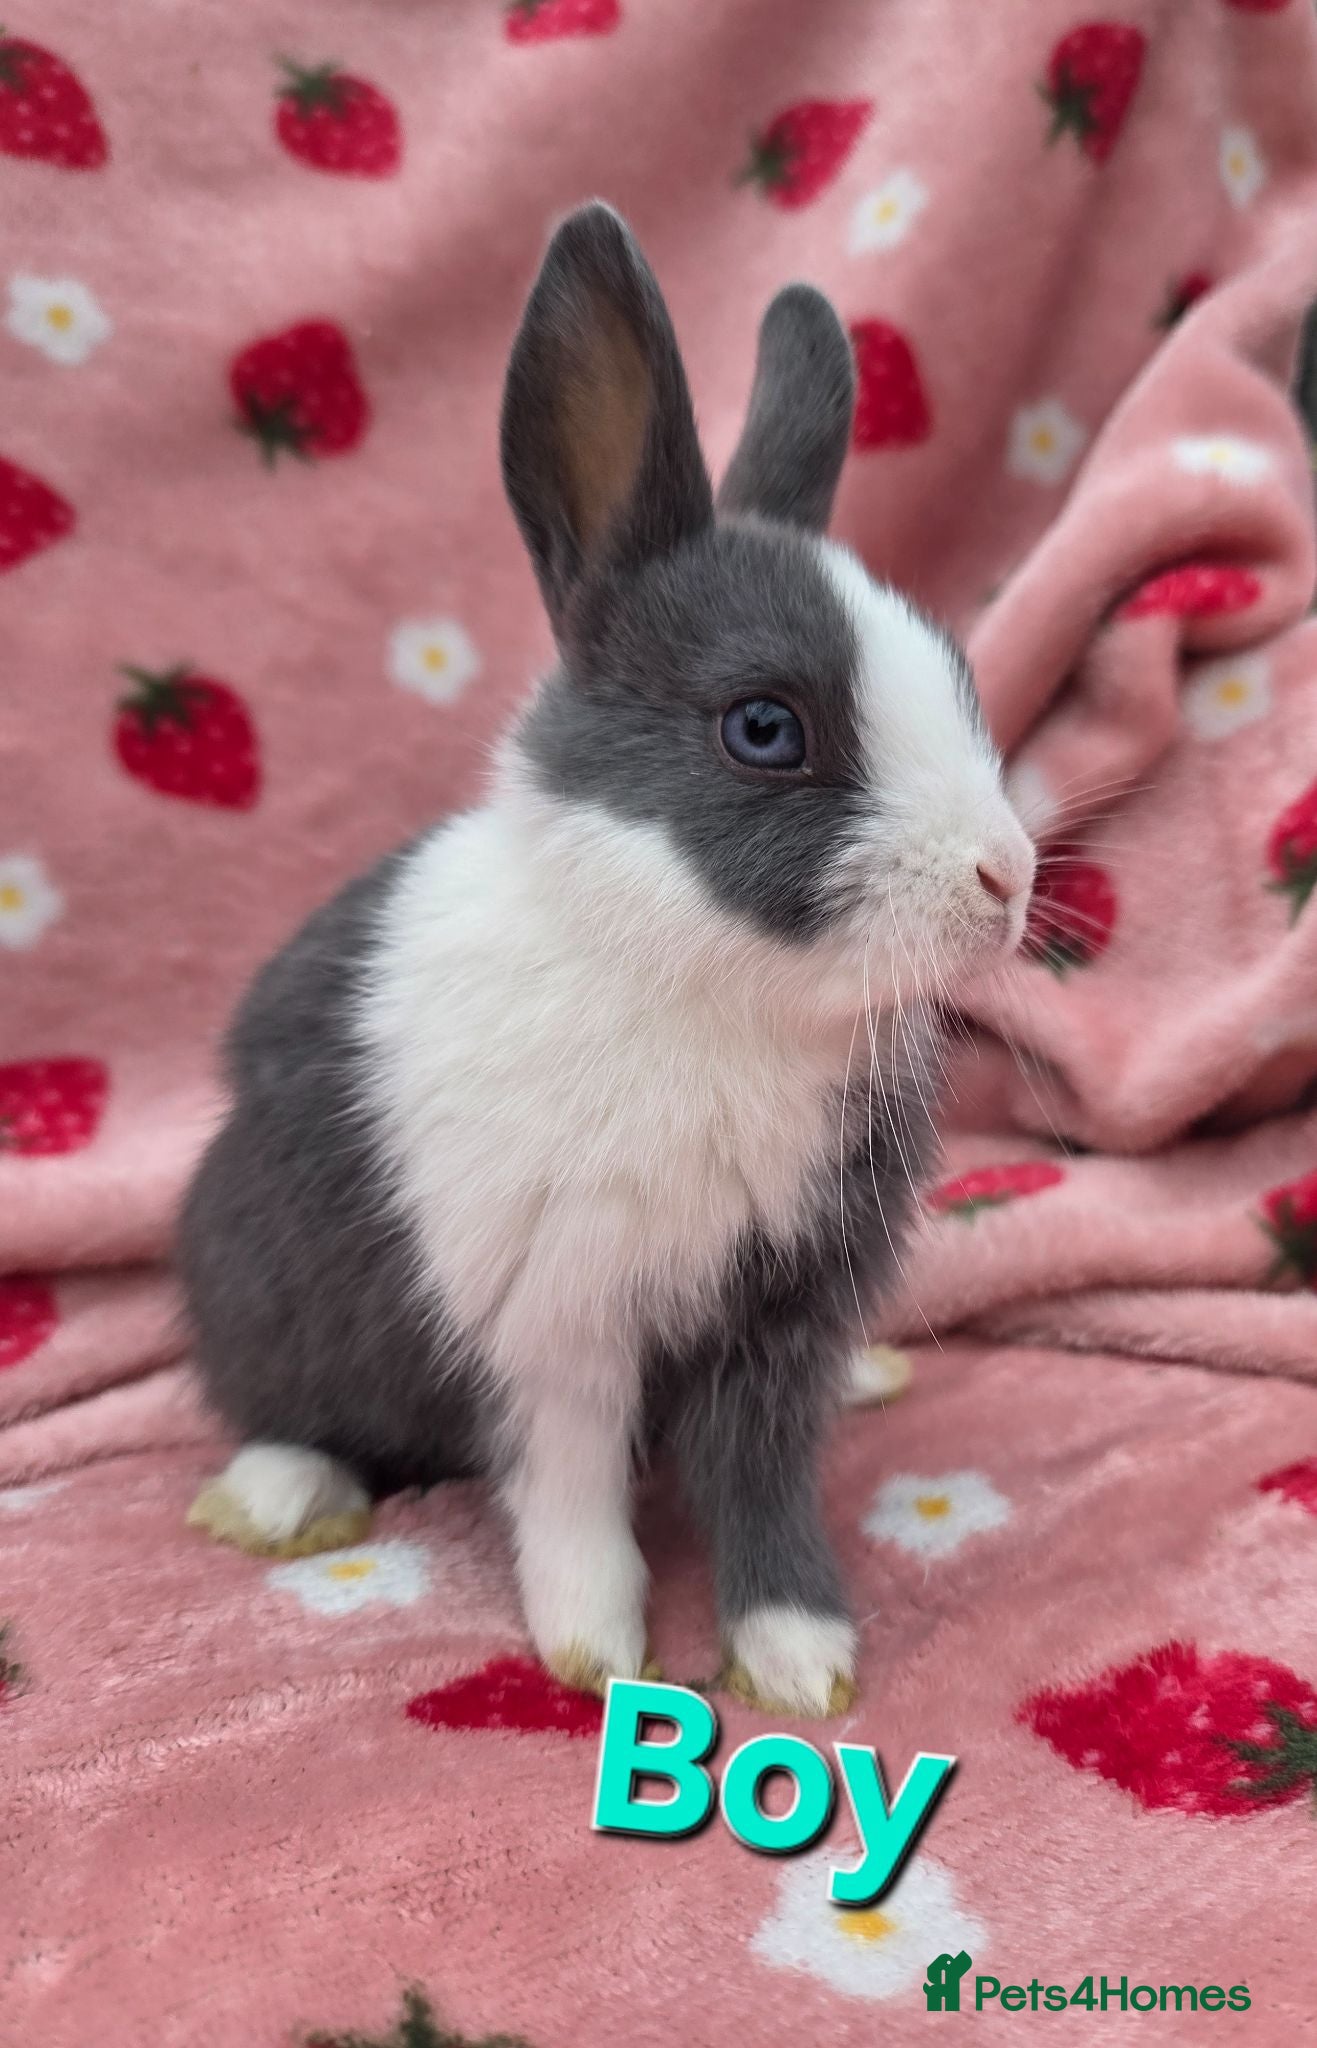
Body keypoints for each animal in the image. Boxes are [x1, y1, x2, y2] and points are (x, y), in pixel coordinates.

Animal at [179, 201, 1035, 1718]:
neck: (712, 988)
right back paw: (278, 1499)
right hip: (252, 1272)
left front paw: (799, 1662)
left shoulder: (780, 1316)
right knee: (287, 1403)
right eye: (763, 728)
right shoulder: (553, 1322)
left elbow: (764, 1479)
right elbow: (572, 1487)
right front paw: (593, 1650)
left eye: (961, 684)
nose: (1009, 878)